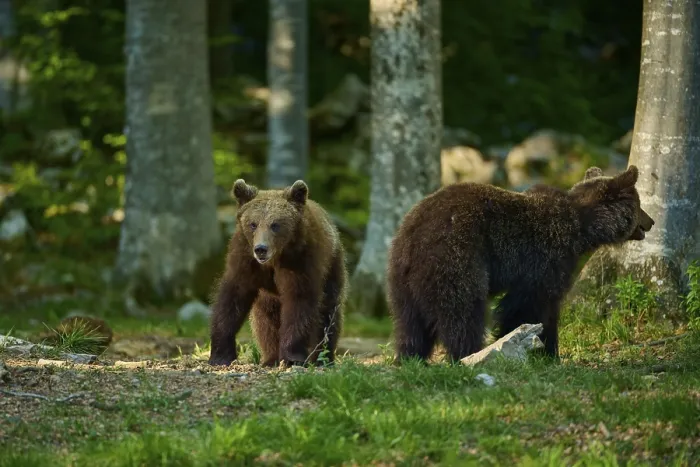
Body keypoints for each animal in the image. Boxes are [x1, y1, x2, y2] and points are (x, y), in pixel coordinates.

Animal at [208, 179, 348, 368]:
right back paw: (270, 358)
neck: (274, 260)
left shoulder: (300, 261)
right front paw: (220, 355)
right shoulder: (245, 261)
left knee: (328, 312)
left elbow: (299, 302)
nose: (261, 249)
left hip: (332, 266)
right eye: (253, 224)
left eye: (275, 224)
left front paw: (292, 357)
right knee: (264, 320)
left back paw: (322, 357)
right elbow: (232, 299)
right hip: (266, 296)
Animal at [386, 165, 651, 363]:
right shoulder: (546, 258)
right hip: (457, 255)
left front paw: (549, 353)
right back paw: (467, 354)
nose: (651, 222)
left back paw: (410, 358)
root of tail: (414, 231)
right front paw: (538, 349)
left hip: (401, 275)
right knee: (462, 311)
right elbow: (528, 306)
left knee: (409, 322)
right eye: (639, 204)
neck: (581, 230)